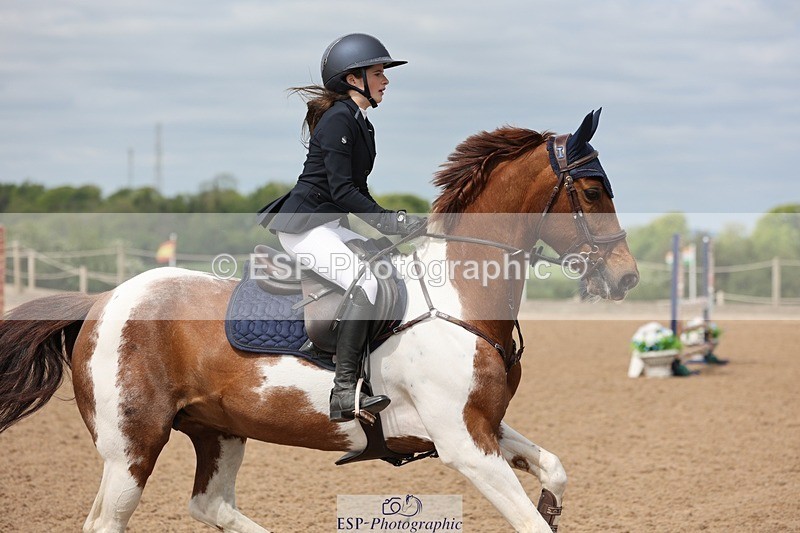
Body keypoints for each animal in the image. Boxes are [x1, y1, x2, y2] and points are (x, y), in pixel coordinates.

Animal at [0, 110, 638, 532]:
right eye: (591, 190)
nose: (627, 278)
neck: (460, 298)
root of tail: (103, 300)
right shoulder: (462, 441)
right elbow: (529, 522)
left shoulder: (482, 425)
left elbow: (553, 471)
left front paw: (553, 504)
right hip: (132, 445)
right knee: (109, 520)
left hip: (218, 428)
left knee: (210, 504)